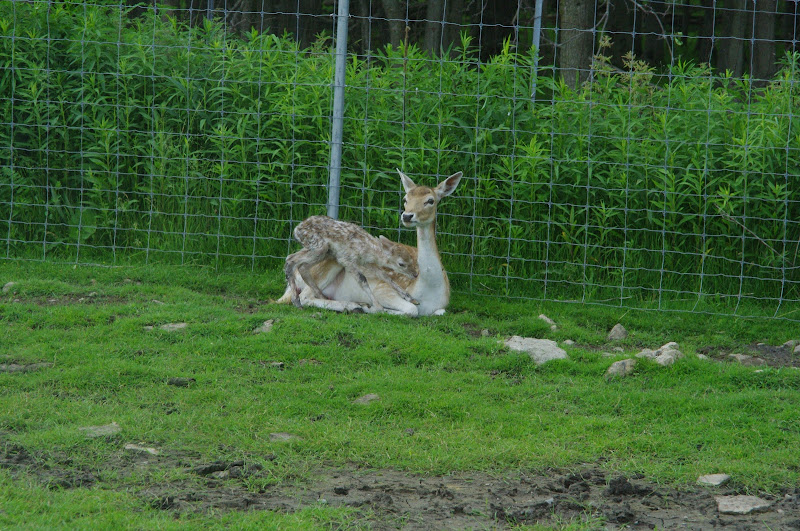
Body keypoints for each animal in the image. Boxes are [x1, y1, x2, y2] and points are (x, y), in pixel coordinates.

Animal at [284, 215, 419, 312]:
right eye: (401, 264)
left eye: (411, 259)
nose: (415, 274)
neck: (368, 250)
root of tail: (296, 230)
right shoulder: (347, 259)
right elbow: (362, 279)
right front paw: (378, 307)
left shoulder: (367, 262)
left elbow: (385, 276)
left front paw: (411, 298)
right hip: (319, 247)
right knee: (291, 259)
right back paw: (297, 301)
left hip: (325, 252)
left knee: (302, 266)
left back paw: (322, 297)